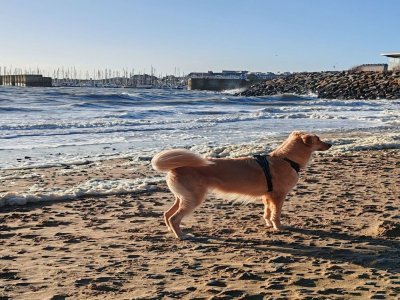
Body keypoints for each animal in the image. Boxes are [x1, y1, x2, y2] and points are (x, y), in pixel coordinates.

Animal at [151, 131, 332, 239]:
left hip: (183, 197)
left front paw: (268, 223)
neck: (286, 159)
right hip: (193, 198)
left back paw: (172, 231)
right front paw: (278, 227)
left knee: (167, 214)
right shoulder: (278, 196)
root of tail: (176, 167)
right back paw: (181, 236)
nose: (330, 144)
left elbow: (267, 212)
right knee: (174, 217)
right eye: (318, 139)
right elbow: (276, 214)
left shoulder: (267, 196)